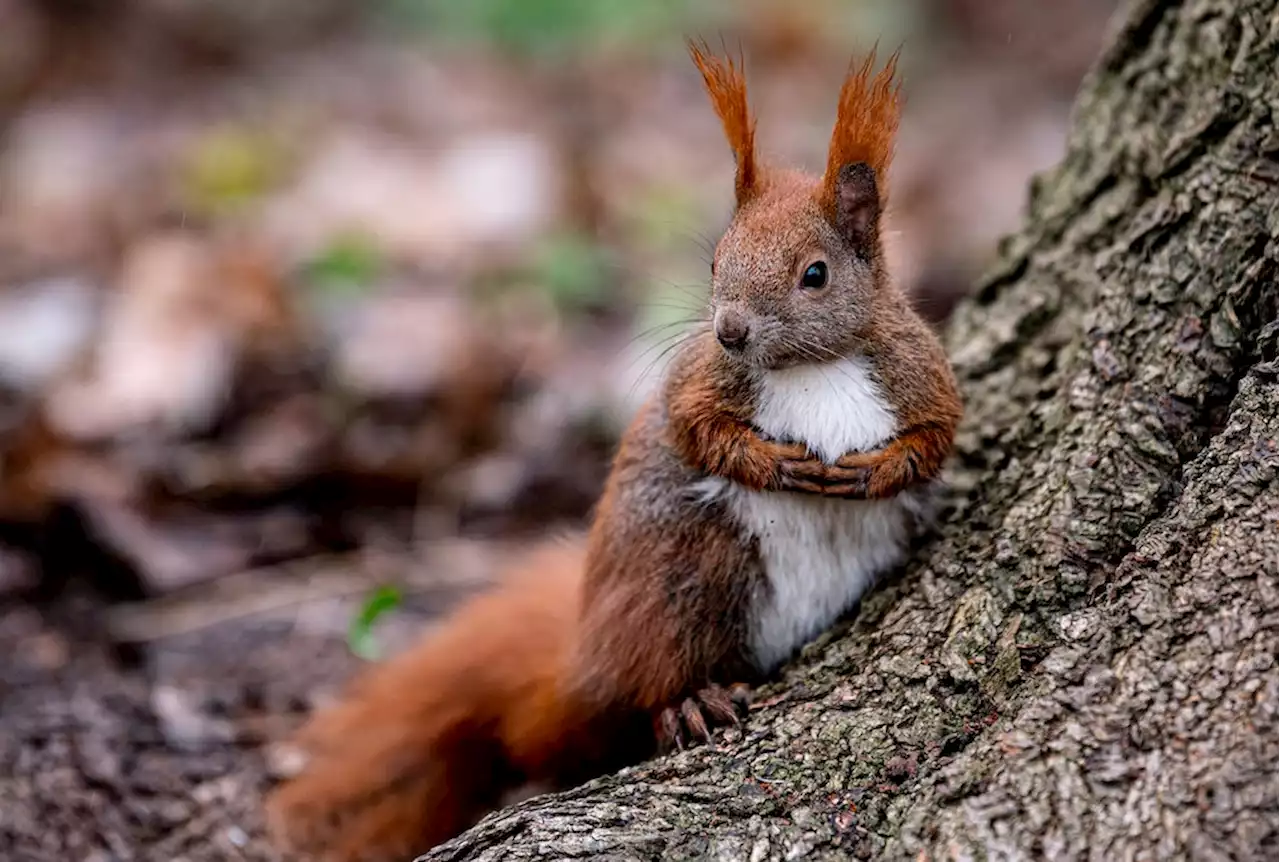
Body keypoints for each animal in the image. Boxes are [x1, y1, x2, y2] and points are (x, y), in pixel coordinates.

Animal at [267, 41, 962, 860]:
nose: (729, 330)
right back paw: (687, 703)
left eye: (815, 275)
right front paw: (768, 460)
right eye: (716, 259)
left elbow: (938, 436)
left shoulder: (919, 372)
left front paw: (878, 471)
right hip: (679, 580)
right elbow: (694, 429)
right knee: (646, 685)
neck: (811, 368)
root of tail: (582, 658)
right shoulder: (694, 383)